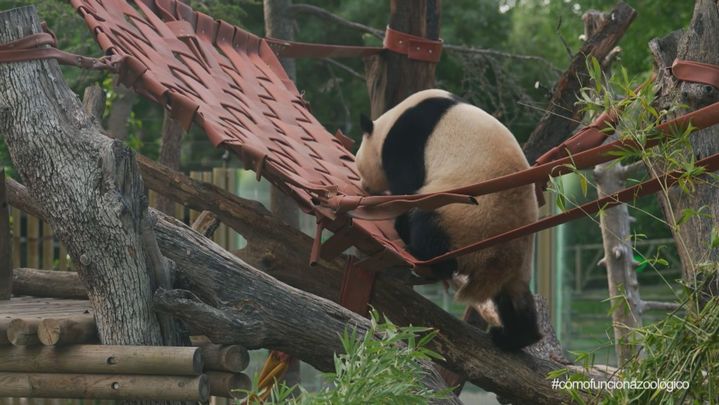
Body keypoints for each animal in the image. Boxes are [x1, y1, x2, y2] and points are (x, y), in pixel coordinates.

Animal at [354, 89, 541, 350]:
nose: (363, 185)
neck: (392, 119)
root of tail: (497, 257)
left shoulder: (408, 141)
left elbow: (408, 186)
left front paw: (398, 222)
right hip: (519, 257)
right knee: (515, 297)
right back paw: (515, 338)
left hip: (463, 215)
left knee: (430, 225)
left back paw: (421, 254)